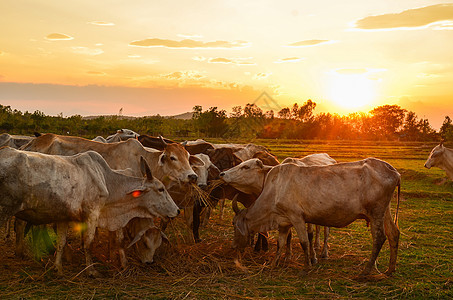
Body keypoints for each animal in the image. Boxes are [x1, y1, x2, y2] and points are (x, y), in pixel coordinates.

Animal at [0, 146, 179, 276]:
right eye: (161, 189)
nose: (177, 210)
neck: (107, 180)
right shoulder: (92, 214)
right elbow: (88, 242)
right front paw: (91, 270)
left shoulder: (63, 217)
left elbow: (61, 242)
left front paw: (58, 268)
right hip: (4, 211)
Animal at [233, 158, 400, 278]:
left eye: (234, 224)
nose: (234, 246)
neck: (275, 189)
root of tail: (393, 171)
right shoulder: (284, 223)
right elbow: (281, 243)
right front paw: (274, 263)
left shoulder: (296, 217)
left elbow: (304, 242)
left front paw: (306, 267)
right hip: (385, 211)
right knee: (393, 233)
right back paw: (390, 270)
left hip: (376, 212)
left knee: (379, 238)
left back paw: (365, 271)